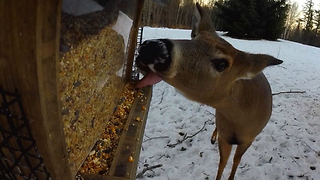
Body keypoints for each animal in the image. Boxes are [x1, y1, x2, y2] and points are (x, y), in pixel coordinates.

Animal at [134, 2, 284, 180]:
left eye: (222, 63)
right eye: (194, 37)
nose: (152, 47)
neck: (240, 121)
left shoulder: (249, 139)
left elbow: (236, 161)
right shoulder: (225, 136)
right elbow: (222, 163)